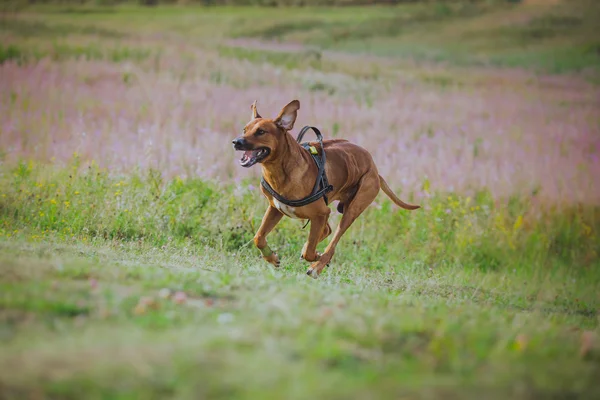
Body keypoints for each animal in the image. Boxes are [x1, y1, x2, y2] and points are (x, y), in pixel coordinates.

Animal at [232, 100, 420, 278]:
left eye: (261, 132)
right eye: (244, 129)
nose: (236, 142)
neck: (281, 171)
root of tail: (374, 169)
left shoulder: (321, 212)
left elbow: (310, 250)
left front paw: (314, 257)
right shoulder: (275, 208)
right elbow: (258, 237)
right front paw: (271, 257)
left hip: (351, 210)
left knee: (333, 241)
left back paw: (318, 265)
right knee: (325, 231)